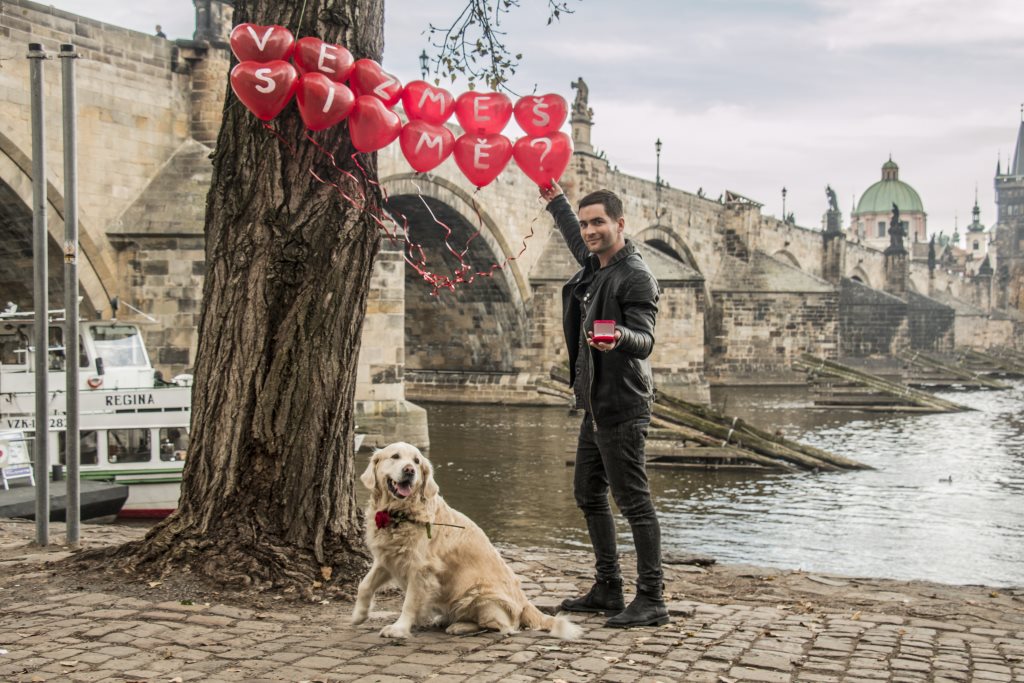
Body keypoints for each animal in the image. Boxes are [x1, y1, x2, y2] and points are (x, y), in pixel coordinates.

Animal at [351, 442, 583, 640]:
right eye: (395, 456)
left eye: (416, 461)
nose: (409, 470)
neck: (399, 514)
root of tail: (525, 602)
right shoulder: (387, 559)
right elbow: (364, 585)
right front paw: (359, 615)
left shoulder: (422, 570)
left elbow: (409, 603)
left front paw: (399, 629)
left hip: (479, 595)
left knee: (502, 627)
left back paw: (459, 626)